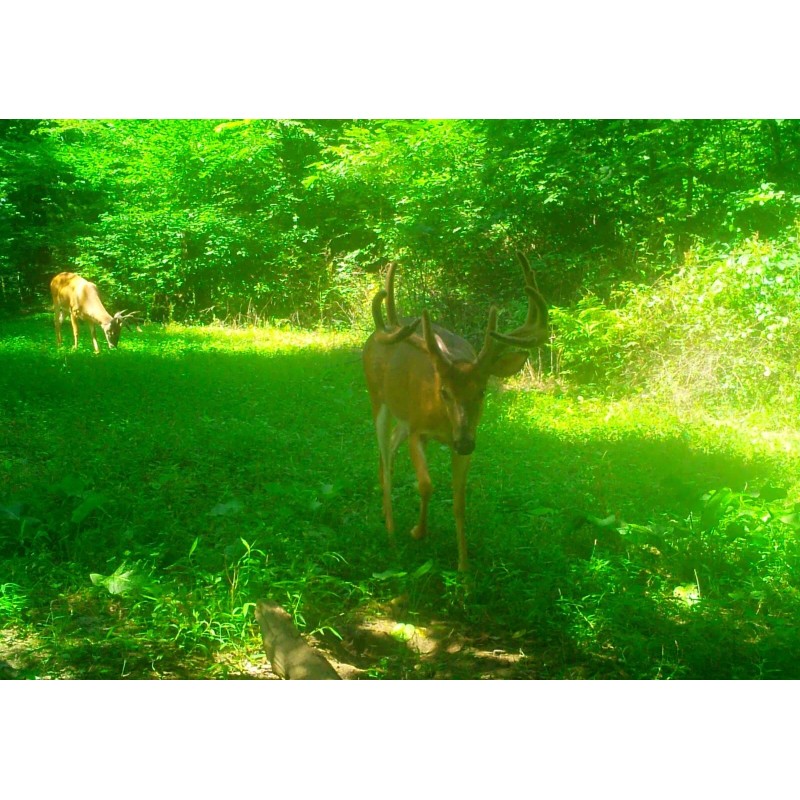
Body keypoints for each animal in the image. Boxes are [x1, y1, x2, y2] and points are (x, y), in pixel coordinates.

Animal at [362, 252, 549, 572]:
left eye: (482, 391)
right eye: (444, 391)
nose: (463, 442)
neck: (443, 422)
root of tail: (376, 335)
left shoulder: (466, 441)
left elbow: (460, 501)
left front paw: (464, 568)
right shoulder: (418, 429)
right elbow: (426, 485)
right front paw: (418, 531)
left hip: (402, 417)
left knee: (388, 453)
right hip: (377, 398)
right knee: (385, 456)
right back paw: (391, 532)